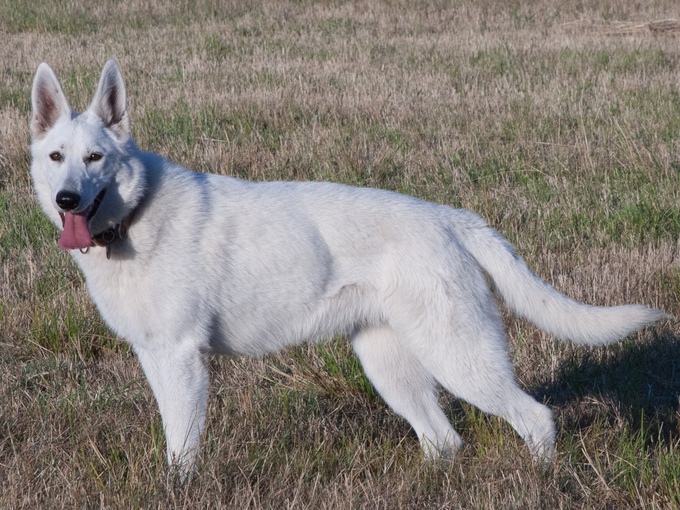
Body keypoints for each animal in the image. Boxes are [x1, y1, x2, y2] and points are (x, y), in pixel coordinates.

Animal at [30, 60, 664, 478]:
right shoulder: (156, 357)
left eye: (95, 158)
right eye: (57, 156)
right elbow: (171, 439)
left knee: (536, 419)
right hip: (392, 368)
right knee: (444, 441)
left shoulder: (182, 358)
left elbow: (181, 450)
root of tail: (451, 218)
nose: (66, 199)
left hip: (460, 360)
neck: (134, 215)